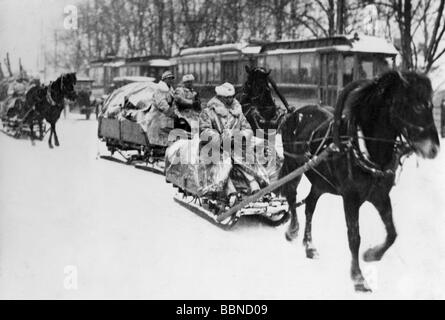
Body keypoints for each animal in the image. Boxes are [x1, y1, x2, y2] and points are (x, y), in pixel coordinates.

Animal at [280, 70, 438, 292]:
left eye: (431, 105)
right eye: (416, 105)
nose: (434, 149)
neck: (363, 148)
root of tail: (293, 113)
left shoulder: (380, 196)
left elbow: (392, 232)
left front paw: (372, 254)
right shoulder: (351, 199)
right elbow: (354, 237)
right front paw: (358, 277)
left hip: (321, 183)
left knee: (309, 205)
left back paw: (309, 246)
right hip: (293, 166)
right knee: (292, 196)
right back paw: (292, 230)